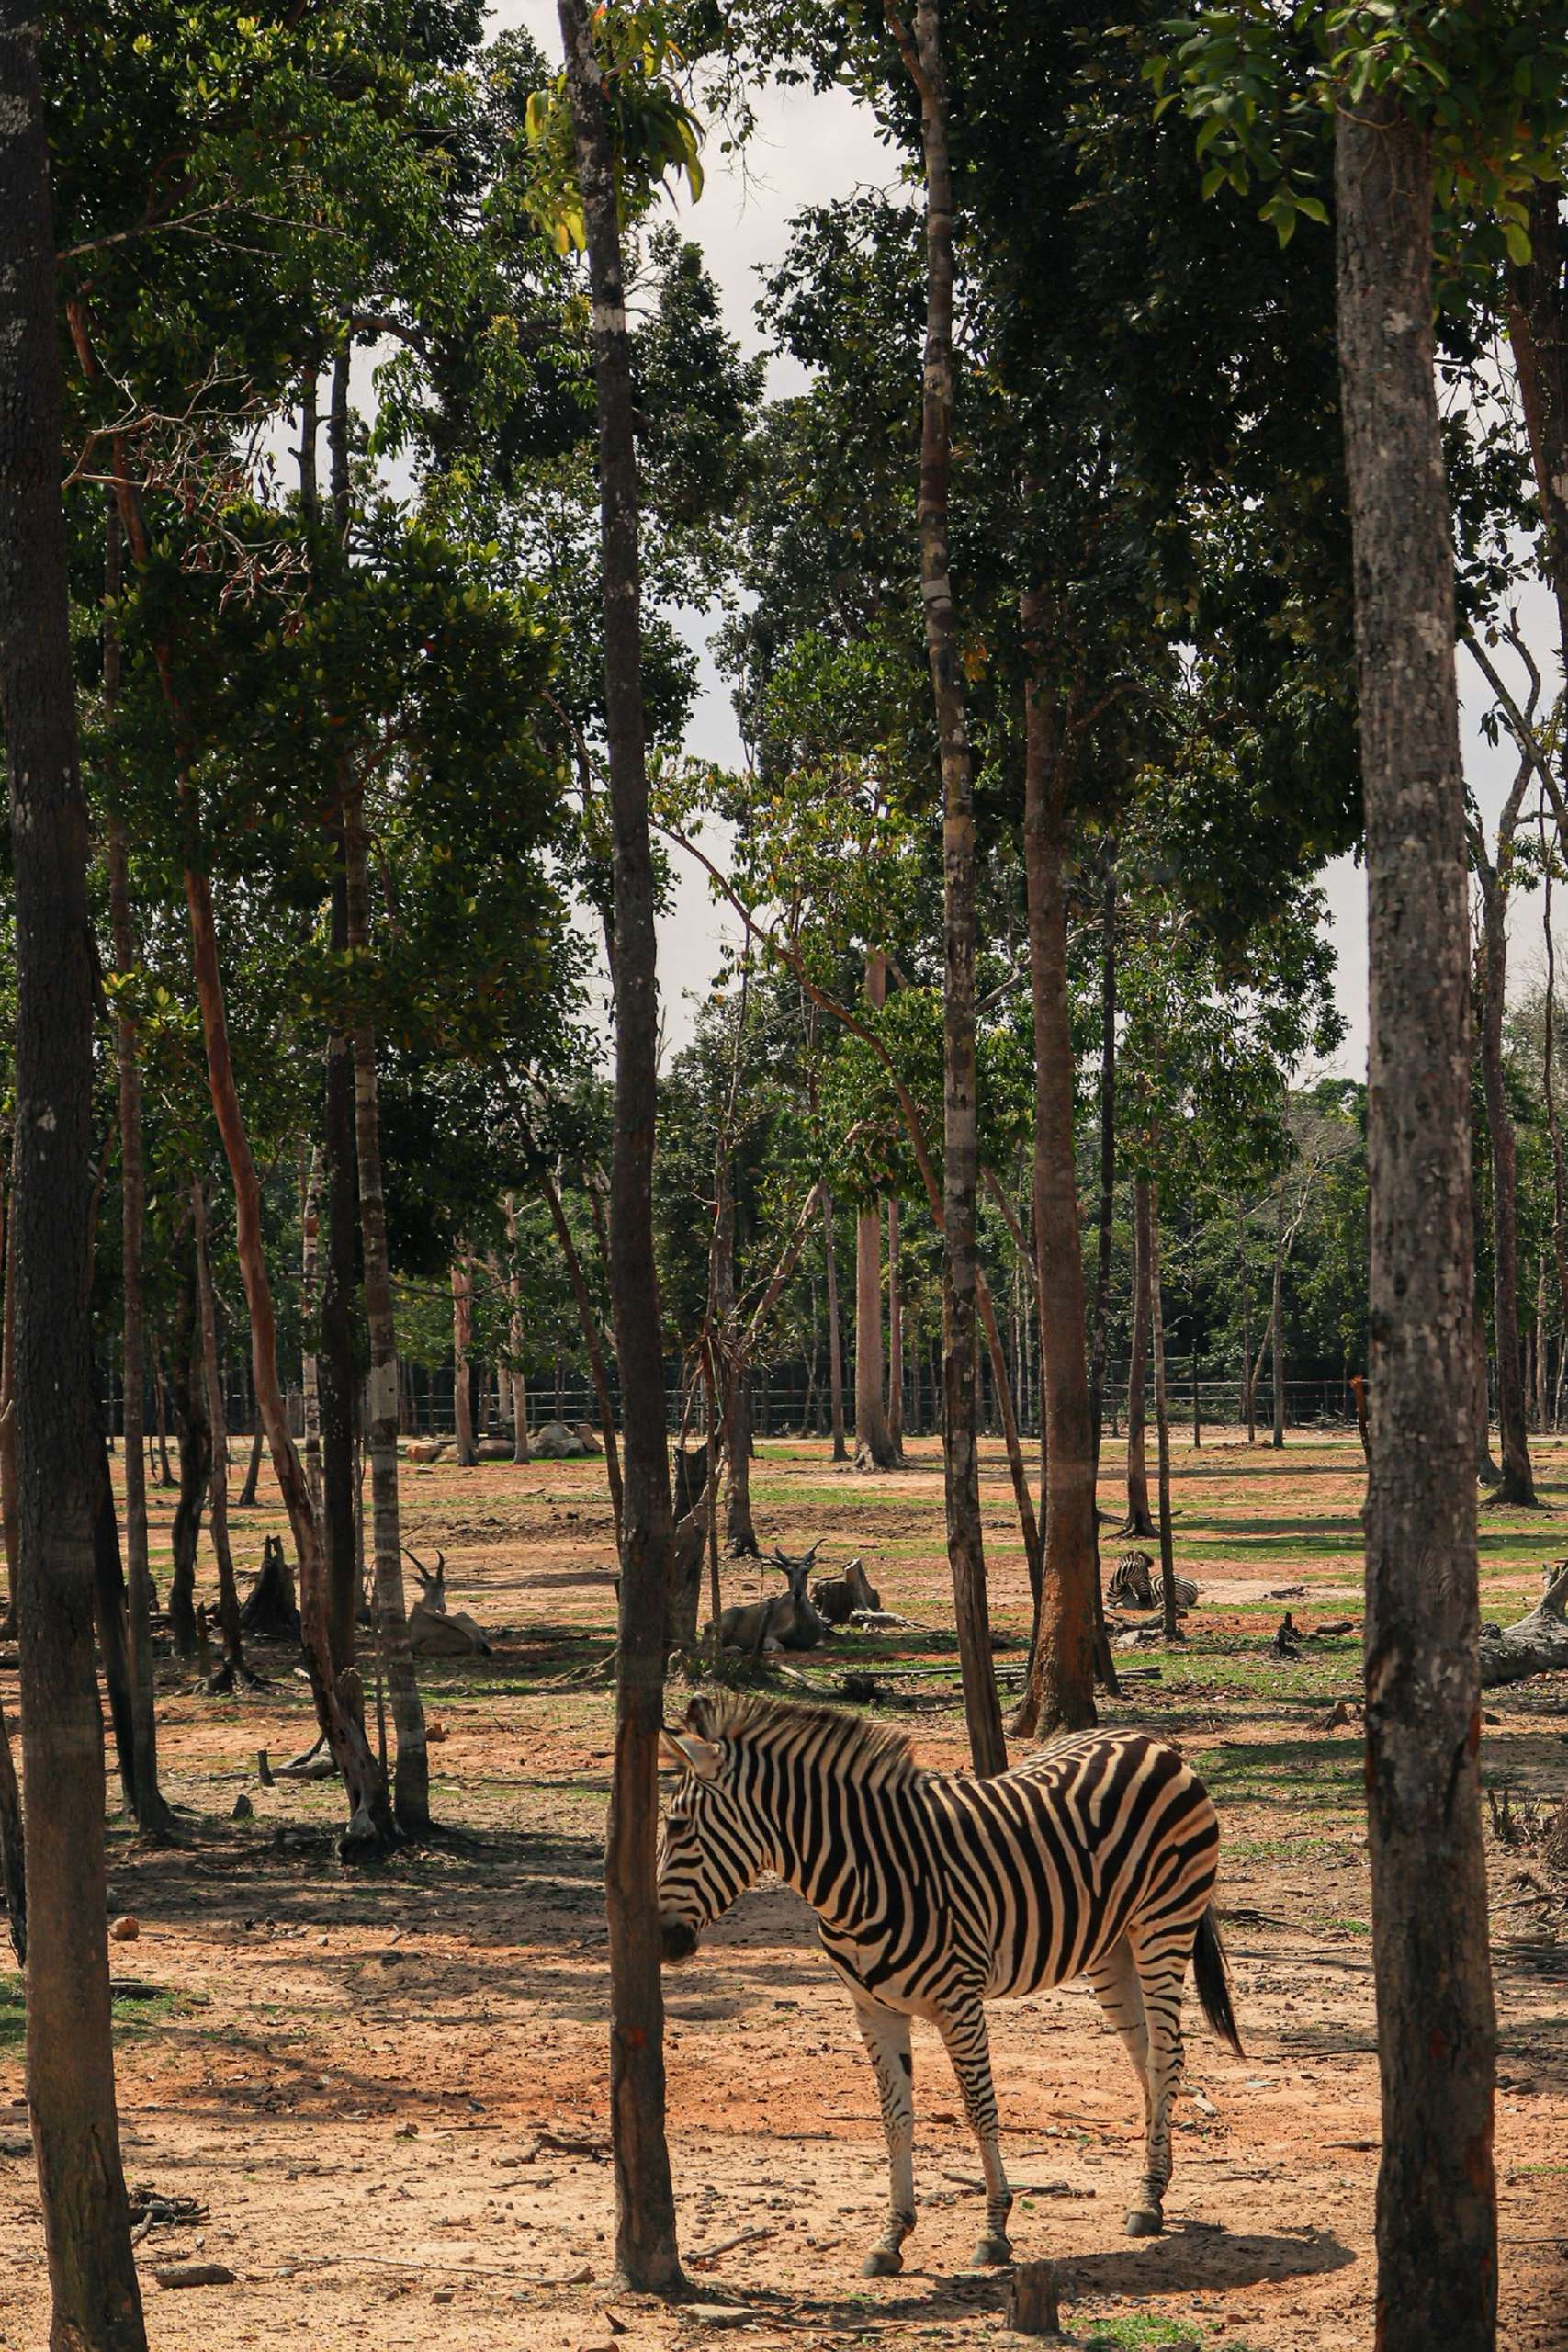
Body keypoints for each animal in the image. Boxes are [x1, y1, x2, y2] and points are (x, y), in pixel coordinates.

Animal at [658, 1693, 1241, 2277]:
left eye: (679, 1826)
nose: (663, 1942)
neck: (862, 1877)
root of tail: (1148, 1740)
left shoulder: (959, 2003)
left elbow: (979, 2110)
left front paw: (995, 2231)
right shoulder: (873, 2009)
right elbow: (895, 2118)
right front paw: (891, 2237)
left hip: (1164, 1924)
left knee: (1166, 2057)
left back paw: (1147, 2199)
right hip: (1109, 1948)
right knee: (1145, 2058)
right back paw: (1154, 2189)